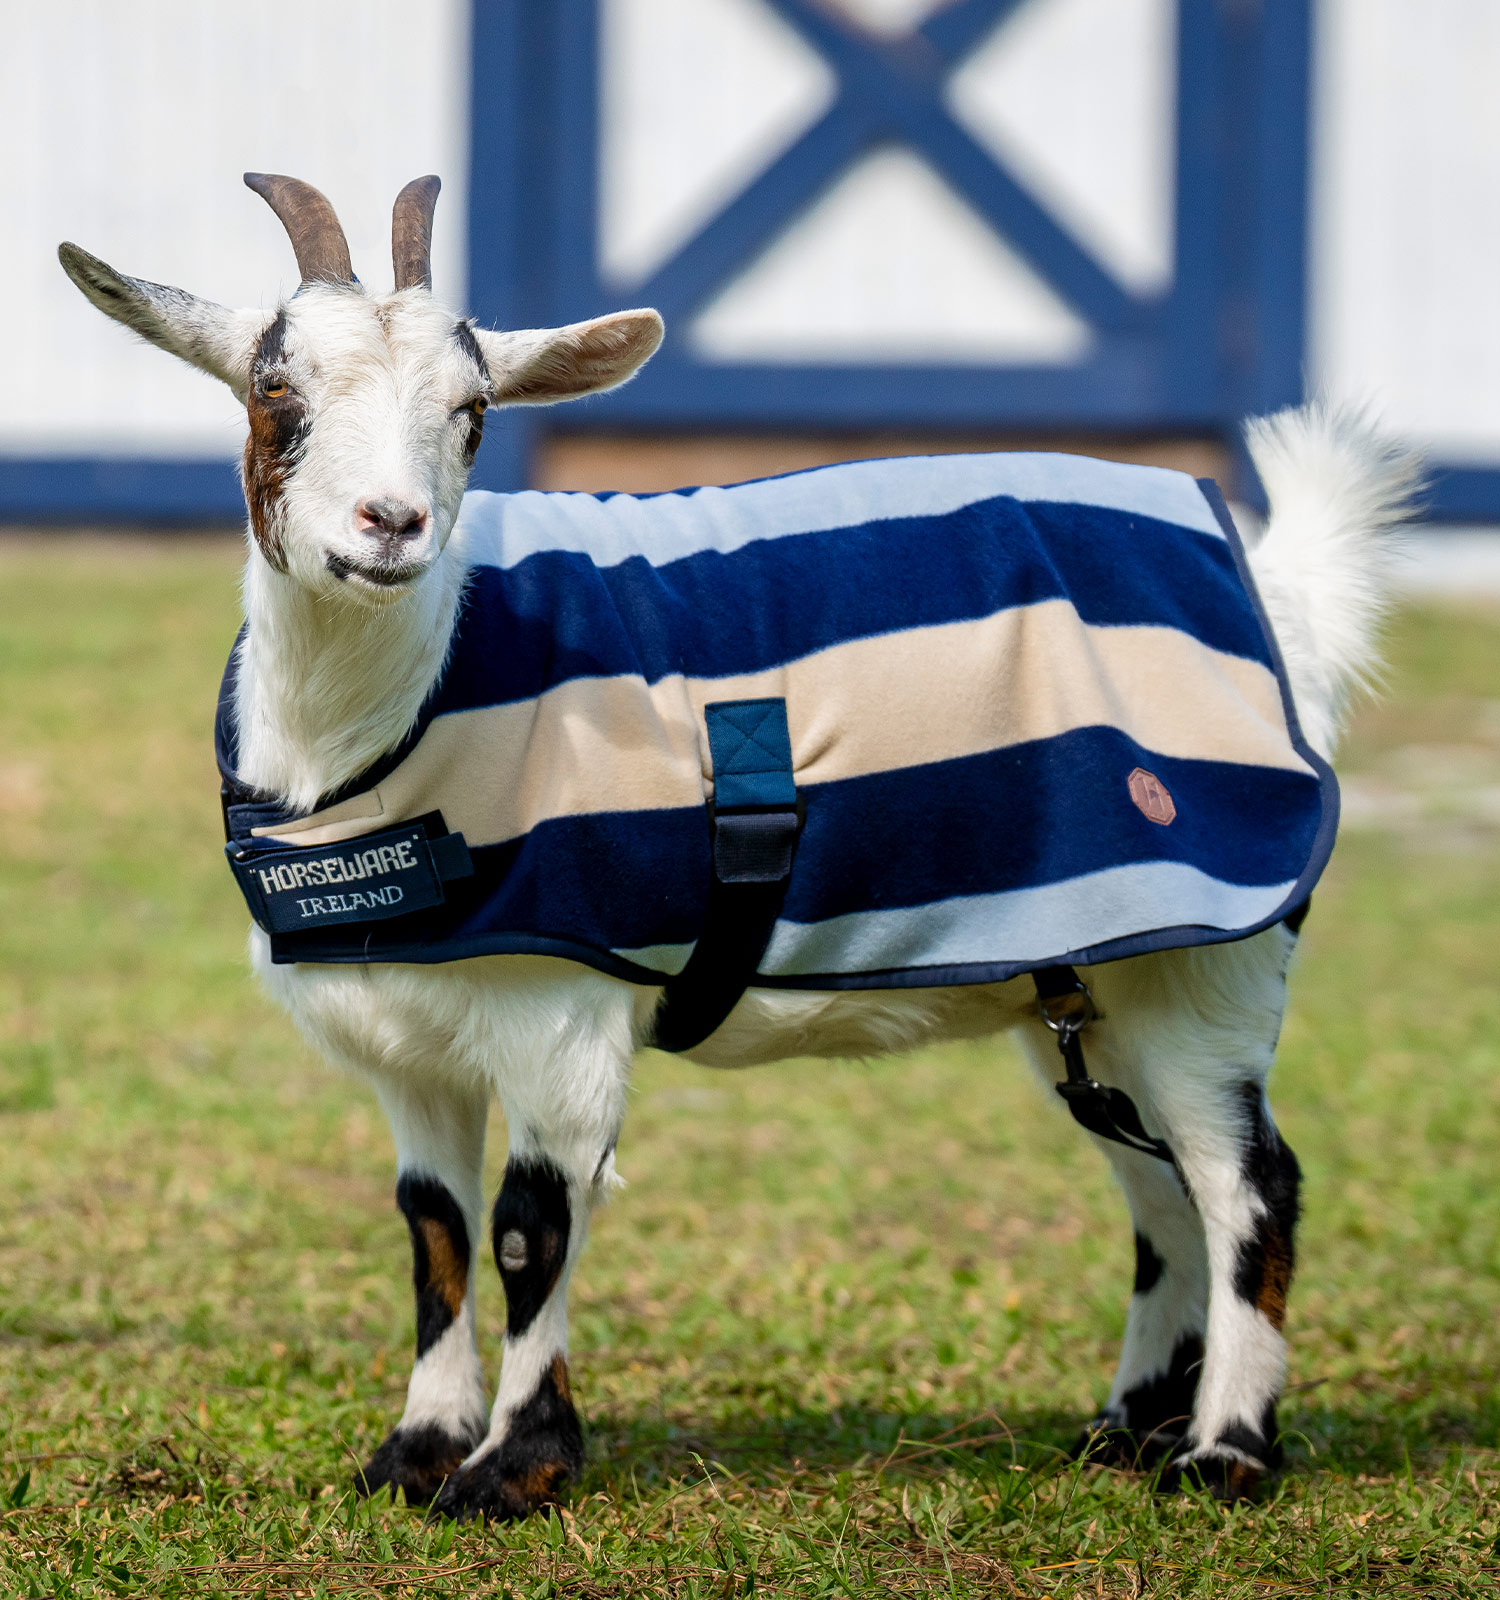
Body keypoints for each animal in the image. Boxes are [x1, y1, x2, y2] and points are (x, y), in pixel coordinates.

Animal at [60, 174, 1418, 1521]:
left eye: (474, 410)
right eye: (274, 389)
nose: (390, 523)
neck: (400, 713)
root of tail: (1278, 606)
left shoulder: (560, 1008)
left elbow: (528, 1226)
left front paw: (515, 1468)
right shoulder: (412, 1036)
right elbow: (430, 1226)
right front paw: (416, 1451)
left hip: (1208, 962)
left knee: (1248, 1182)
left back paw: (1225, 1450)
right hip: (1088, 978)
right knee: (1156, 1181)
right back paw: (1129, 1427)